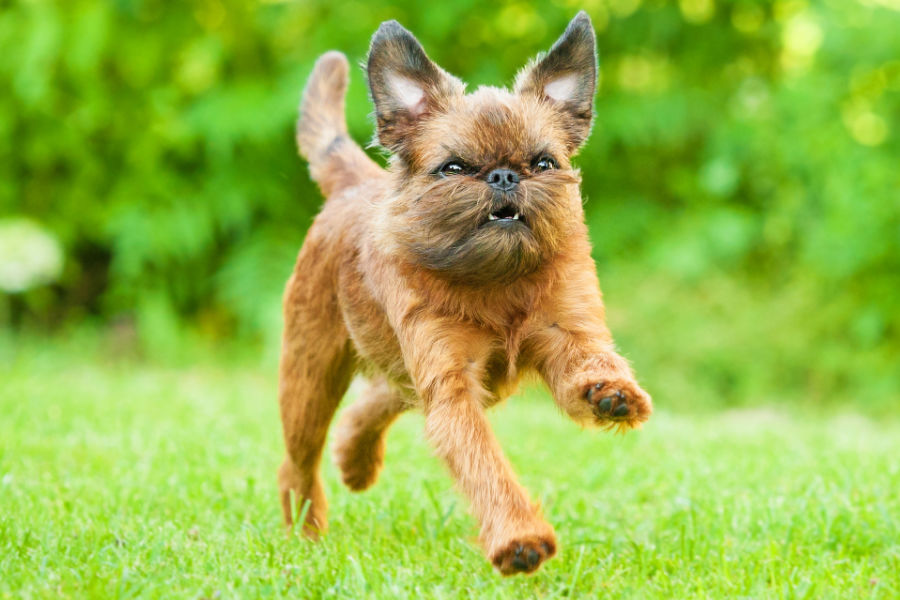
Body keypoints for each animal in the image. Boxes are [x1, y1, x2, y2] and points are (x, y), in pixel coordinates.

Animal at [278, 12, 652, 576]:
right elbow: (482, 462)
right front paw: (520, 539)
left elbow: (587, 363)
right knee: (298, 460)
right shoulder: (451, 383)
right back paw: (304, 531)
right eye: (454, 168)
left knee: (379, 396)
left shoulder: (567, 331)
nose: (504, 174)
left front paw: (609, 392)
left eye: (544, 163)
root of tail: (355, 184)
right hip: (310, 373)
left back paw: (355, 458)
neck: (497, 283)